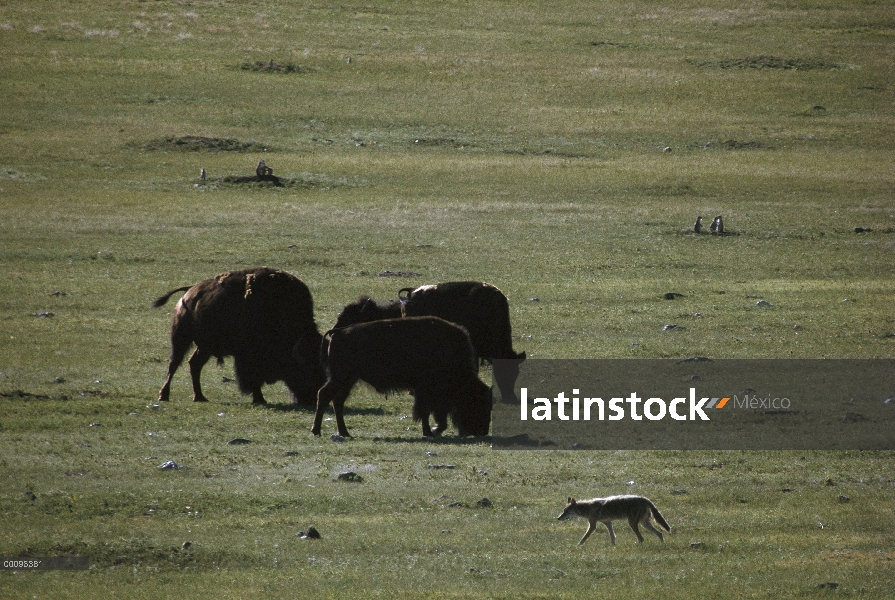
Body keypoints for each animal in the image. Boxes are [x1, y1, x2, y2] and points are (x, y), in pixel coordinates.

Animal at [154, 268, 326, 406]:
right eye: (307, 368)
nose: (312, 399)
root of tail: (189, 291)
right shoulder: (248, 358)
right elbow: (253, 379)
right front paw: (259, 399)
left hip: (204, 347)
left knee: (194, 364)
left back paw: (200, 397)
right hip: (181, 338)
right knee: (174, 364)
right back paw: (164, 396)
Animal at [314, 316, 496, 438]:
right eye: (479, 404)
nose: (482, 431)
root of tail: (338, 332)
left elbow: (434, 414)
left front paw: (432, 431)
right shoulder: (426, 392)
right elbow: (425, 411)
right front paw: (430, 432)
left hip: (347, 380)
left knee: (336, 401)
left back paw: (344, 433)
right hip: (342, 378)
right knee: (325, 395)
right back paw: (317, 431)